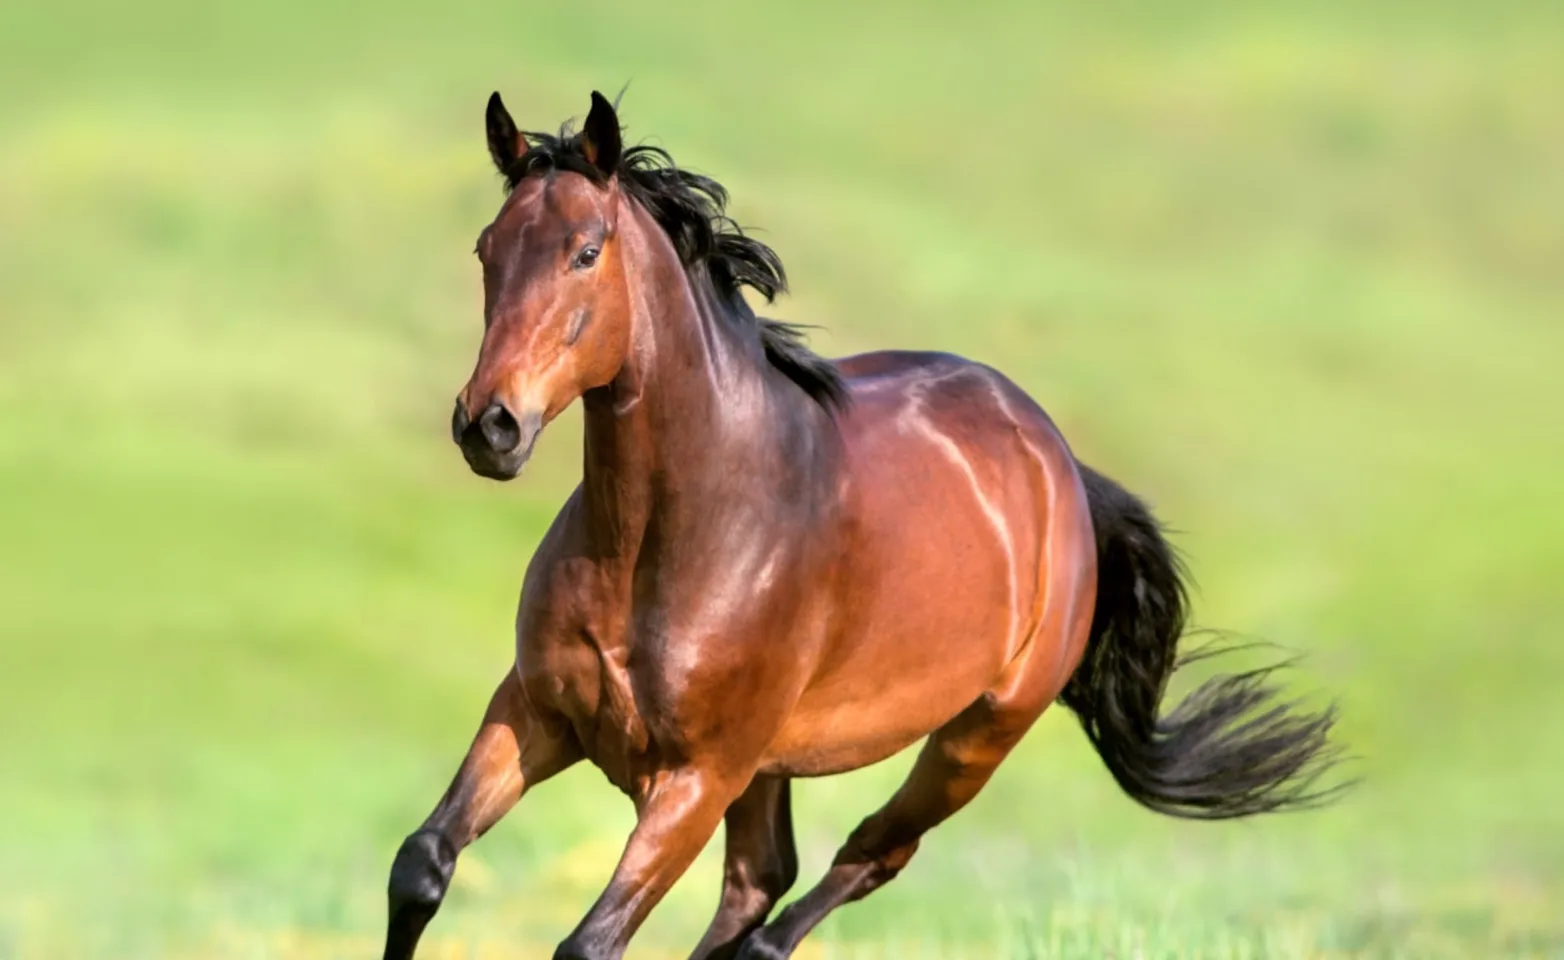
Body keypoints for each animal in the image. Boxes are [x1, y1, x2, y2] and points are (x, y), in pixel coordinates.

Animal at [381, 92, 1345, 960]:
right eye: (487, 249)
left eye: (586, 251)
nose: (489, 426)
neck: (668, 537)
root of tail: (1062, 468)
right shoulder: (537, 709)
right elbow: (421, 866)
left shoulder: (696, 777)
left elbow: (588, 944)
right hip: (777, 765)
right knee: (760, 882)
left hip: (973, 740)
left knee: (858, 864)